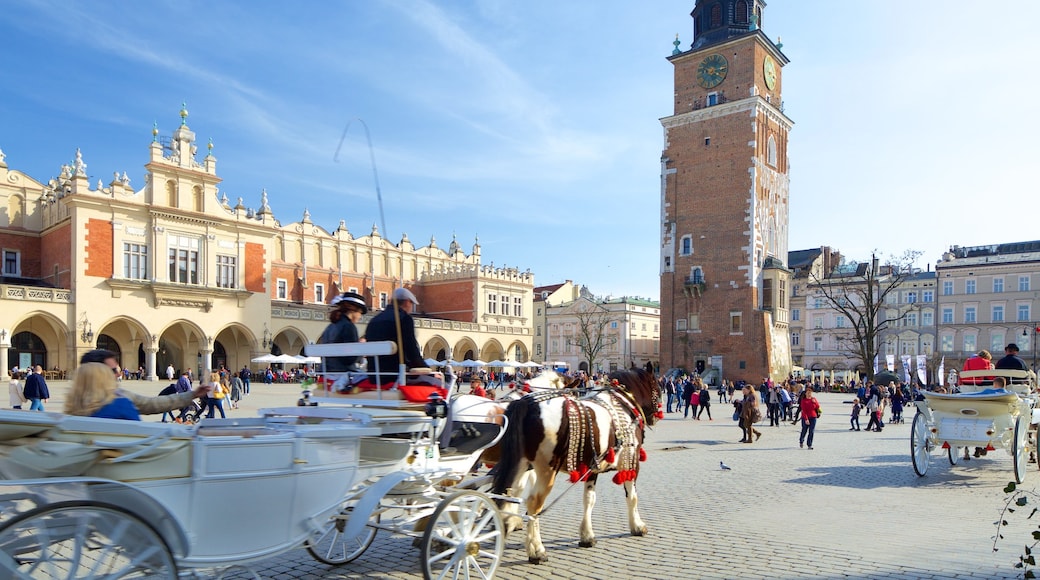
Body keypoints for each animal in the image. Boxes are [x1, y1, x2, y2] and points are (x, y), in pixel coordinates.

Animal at [490, 370, 661, 565]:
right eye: (657, 388)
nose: (655, 416)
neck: (621, 403)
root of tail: (525, 403)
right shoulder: (631, 462)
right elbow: (632, 497)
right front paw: (637, 526)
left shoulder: (592, 468)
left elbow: (589, 499)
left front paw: (587, 535)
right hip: (546, 470)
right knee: (534, 503)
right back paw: (537, 550)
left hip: (520, 463)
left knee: (507, 493)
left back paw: (505, 526)